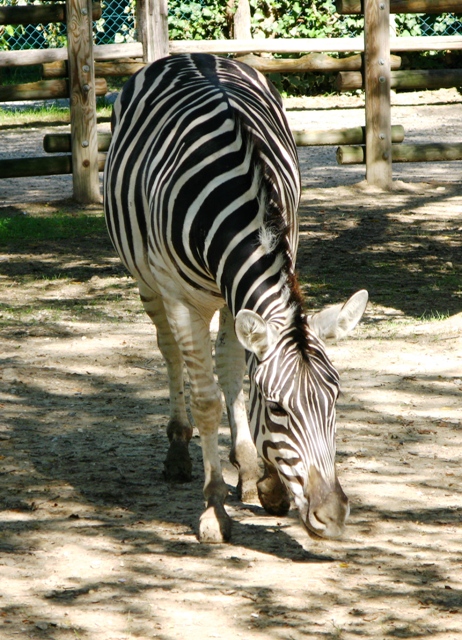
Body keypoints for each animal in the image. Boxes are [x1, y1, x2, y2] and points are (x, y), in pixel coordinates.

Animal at [104, 53, 368, 543]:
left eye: (336, 399)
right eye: (279, 408)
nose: (333, 516)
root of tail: (191, 55)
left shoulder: (246, 287)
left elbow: (238, 375)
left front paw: (265, 480)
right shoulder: (181, 299)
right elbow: (207, 399)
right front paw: (214, 508)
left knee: (225, 366)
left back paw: (244, 466)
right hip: (149, 283)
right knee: (170, 353)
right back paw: (178, 448)